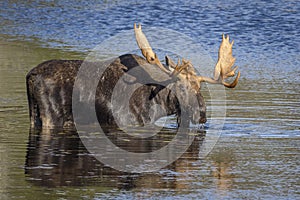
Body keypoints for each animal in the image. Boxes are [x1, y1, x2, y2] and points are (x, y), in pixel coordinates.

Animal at [26, 23, 241, 130]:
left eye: (200, 88)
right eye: (180, 87)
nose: (202, 114)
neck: (158, 105)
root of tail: (31, 75)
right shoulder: (131, 122)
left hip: (34, 115)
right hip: (51, 117)